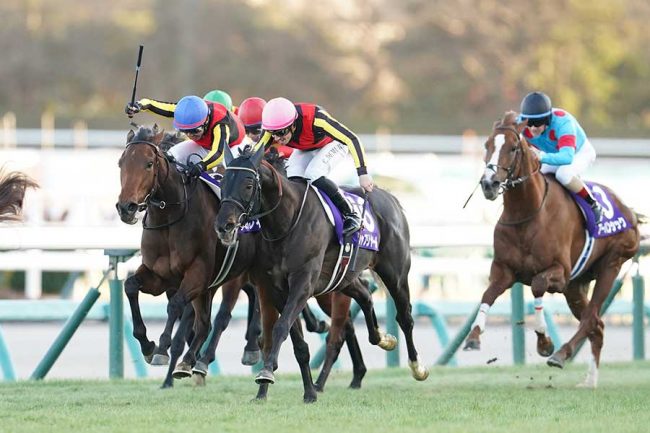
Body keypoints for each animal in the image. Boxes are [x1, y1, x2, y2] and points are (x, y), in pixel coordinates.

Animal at [215, 144, 429, 402]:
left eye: (248, 185)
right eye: (223, 182)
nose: (224, 225)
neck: (287, 221)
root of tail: (389, 196)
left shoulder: (302, 283)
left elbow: (280, 328)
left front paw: (266, 374)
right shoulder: (275, 288)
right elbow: (296, 341)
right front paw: (305, 391)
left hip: (394, 274)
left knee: (404, 316)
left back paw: (417, 367)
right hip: (343, 279)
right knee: (365, 296)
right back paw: (381, 339)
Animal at [464, 111, 643, 388]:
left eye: (513, 148)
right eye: (487, 145)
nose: (489, 184)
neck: (526, 214)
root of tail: (629, 211)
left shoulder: (559, 273)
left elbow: (537, 285)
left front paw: (545, 342)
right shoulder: (504, 271)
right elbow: (487, 295)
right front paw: (473, 336)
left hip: (611, 265)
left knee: (591, 318)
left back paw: (561, 354)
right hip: (576, 286)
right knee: (598, 325)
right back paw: (589, 381)